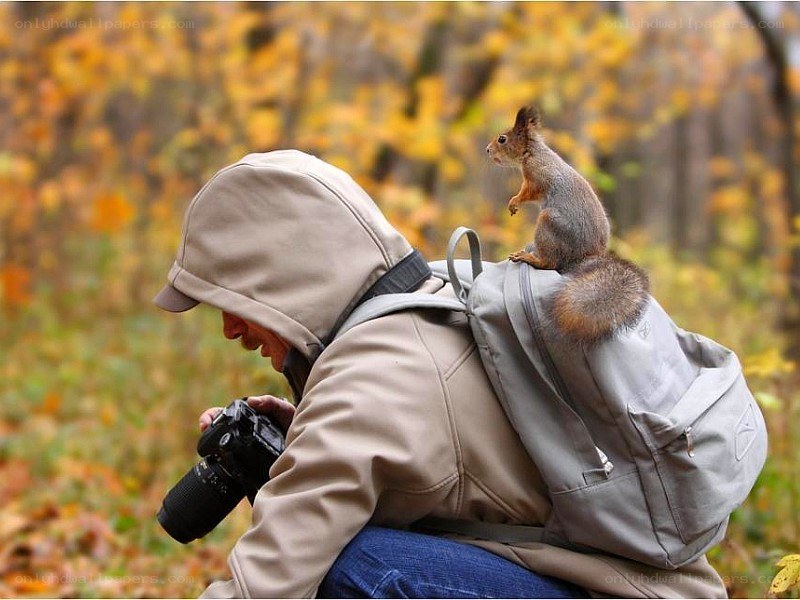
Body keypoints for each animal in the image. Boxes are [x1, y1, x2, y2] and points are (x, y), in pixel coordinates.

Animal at [486, 106, 650, 346]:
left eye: (502, 139)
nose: (487, 150)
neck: (532, 153)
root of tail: (585, 257)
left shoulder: (537, 178)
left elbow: (526, 192)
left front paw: (514, 202)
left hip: (549, 224)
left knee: (550, 263)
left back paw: (529, 257)